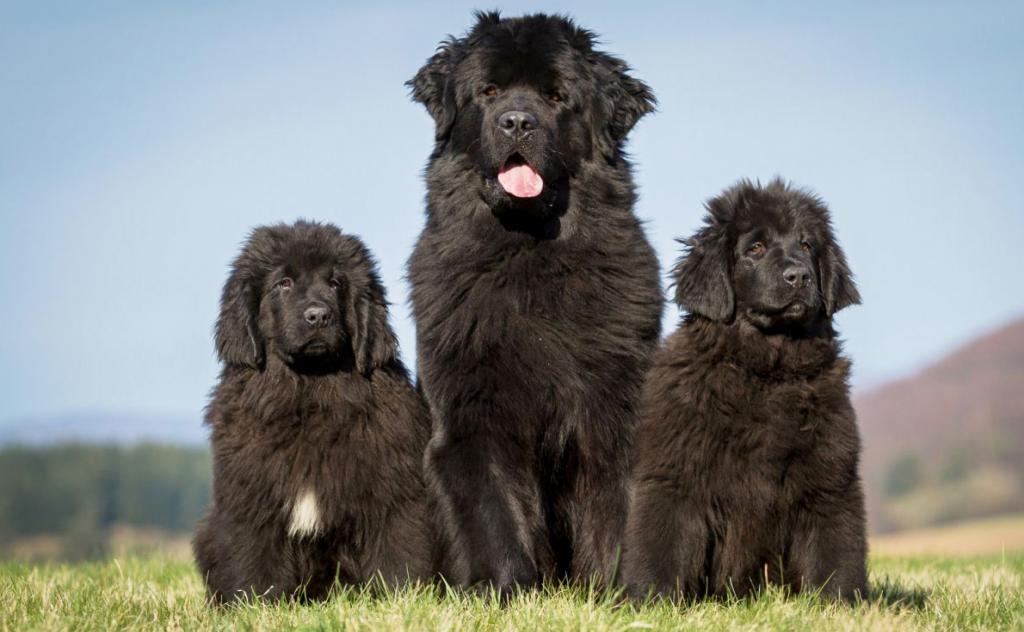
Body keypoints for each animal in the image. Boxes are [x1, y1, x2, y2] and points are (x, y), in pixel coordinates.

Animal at [193, 220, 434, 602]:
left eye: (335, 283)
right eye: (284, 283)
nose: (318, 315)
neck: (309, 393)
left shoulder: (391, 491)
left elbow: (397, 552)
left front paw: (403, 599)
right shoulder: (252, 497)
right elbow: (253, 560)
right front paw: (254, 605)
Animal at [403, 12, 659, 594]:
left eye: (556, 96)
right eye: (489, 91)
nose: (517, 123)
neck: (529, 256)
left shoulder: (616, 411)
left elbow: (616, 513)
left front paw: (618, 594)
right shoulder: (472, 417)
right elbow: (494, 514)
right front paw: (509, 592)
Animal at [618, 178, 868, 602]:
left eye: (807, 246)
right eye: (755, 248)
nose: (799, 276)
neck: (766, 371)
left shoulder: (829, 477)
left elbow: (833, 552)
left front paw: (840, 604)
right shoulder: (675, 474)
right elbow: (662, 544)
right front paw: (651, 601)